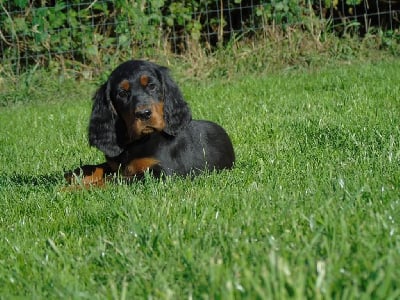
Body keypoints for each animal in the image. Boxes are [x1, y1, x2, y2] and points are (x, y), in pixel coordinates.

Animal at [65, 60, 234, 188]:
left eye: (152, 86)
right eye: (122, 93)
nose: (144, 114)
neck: (138, 141)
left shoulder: (162, 174)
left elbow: (113, 180)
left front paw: (71, 188)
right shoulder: (115, 165)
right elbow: (100, 168)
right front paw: (74, 174)